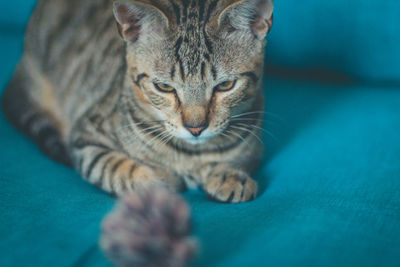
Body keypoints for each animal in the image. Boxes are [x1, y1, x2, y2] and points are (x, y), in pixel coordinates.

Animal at [1, 0, 274, 204]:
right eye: (164, 87)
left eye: (225, 86)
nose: (195, 128)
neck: (191, 154)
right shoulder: (86, 136)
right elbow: (116, 167)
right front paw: (159, 180)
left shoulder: (253, 143)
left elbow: (240, 158)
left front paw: (231, 174)